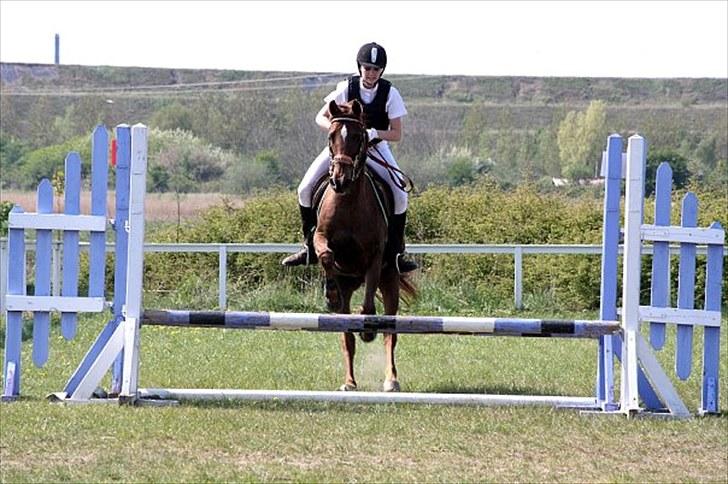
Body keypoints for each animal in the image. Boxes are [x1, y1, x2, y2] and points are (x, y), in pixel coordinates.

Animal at [312, 99, 416, 394]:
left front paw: (368, 327)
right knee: (346, 337)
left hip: (390, 280)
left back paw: (391, 379)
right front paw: (330, 293)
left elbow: (370, 304)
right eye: (331, 136)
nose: (339, 180)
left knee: (390, 333)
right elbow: (325, 254)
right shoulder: (321, 237)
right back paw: (349, 382)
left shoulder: (375, 255)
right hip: (349, 286)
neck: (348, 202)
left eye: (359, 137)